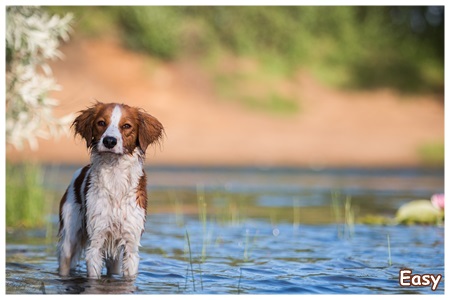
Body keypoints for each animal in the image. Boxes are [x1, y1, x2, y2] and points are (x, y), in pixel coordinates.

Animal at [57, 102, 163, 278]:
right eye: (101, 123)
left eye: (126, 126)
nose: (109, 141)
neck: (115, 177)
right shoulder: (96, 241)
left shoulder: (131, 245)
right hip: (69, 235)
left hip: (115, 260)